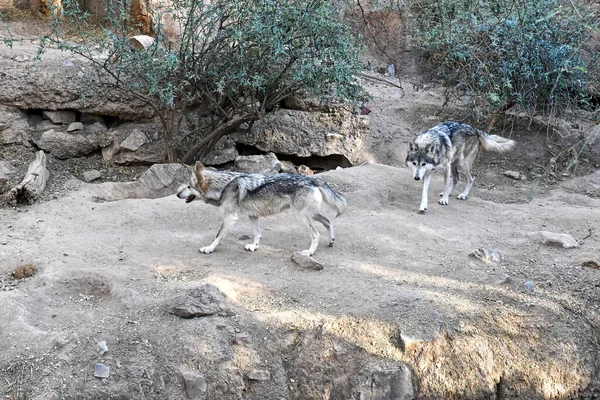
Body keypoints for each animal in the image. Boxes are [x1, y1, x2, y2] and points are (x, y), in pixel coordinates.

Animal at [176, 162, 346, 256]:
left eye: (188, 186)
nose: (177, 193)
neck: (223, 186)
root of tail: (312, 179)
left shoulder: (230, 218)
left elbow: (218, 236)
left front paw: (209, 249)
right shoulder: (253, 215)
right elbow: (257, 234)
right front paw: (254, 247)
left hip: (302, 217)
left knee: (316, 234)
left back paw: (309, 253)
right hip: (310, 215)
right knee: (328, 221)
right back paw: (331, 241)